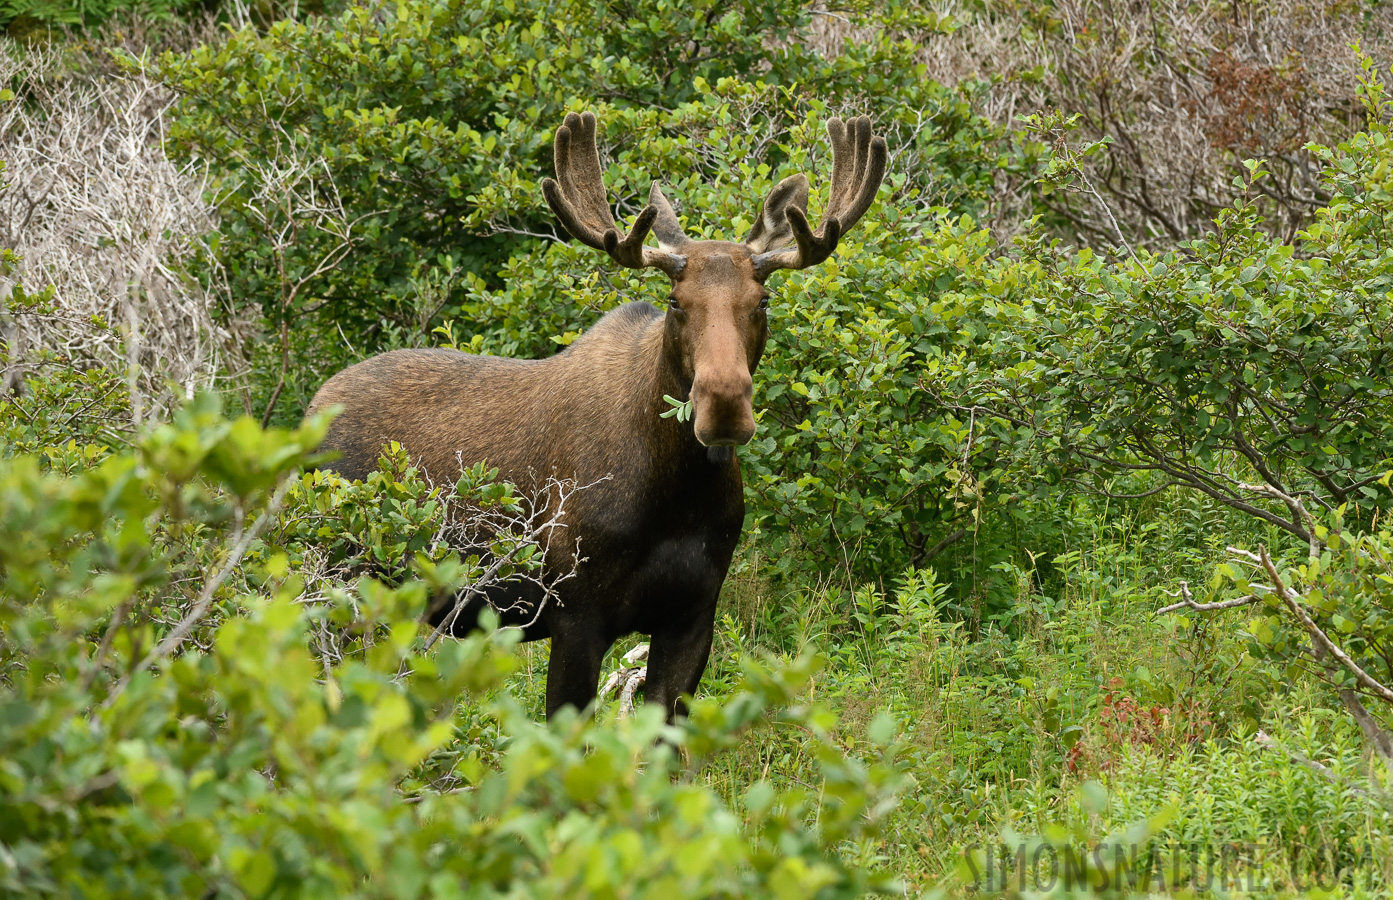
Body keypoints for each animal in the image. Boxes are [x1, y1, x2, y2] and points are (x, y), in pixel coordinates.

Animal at [310, 110, 885, 718]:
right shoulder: (575, 615)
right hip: (340, 575)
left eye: (764, 300)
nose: (724, 404)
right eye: (676, 301)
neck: (675, 496)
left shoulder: (693, 616)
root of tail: (310, 407)